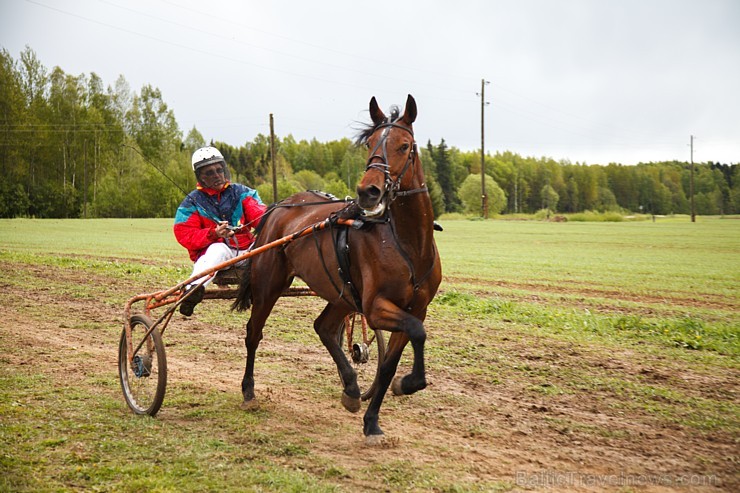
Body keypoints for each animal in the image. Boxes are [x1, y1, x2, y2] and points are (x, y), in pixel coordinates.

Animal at [233, 95, 440, 442]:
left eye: (404, 145)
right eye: (370, 142)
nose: (368, 191)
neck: (408, 245)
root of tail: (280, 207)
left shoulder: (416, 307)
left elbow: (392, 361)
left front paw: (373, 420)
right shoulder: (375, 307)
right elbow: (416, 331)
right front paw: (408, 383)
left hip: (341, 294)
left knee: (324, 327)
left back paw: (352, 389)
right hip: (270, 284)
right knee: (254, 332)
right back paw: (248, 390)